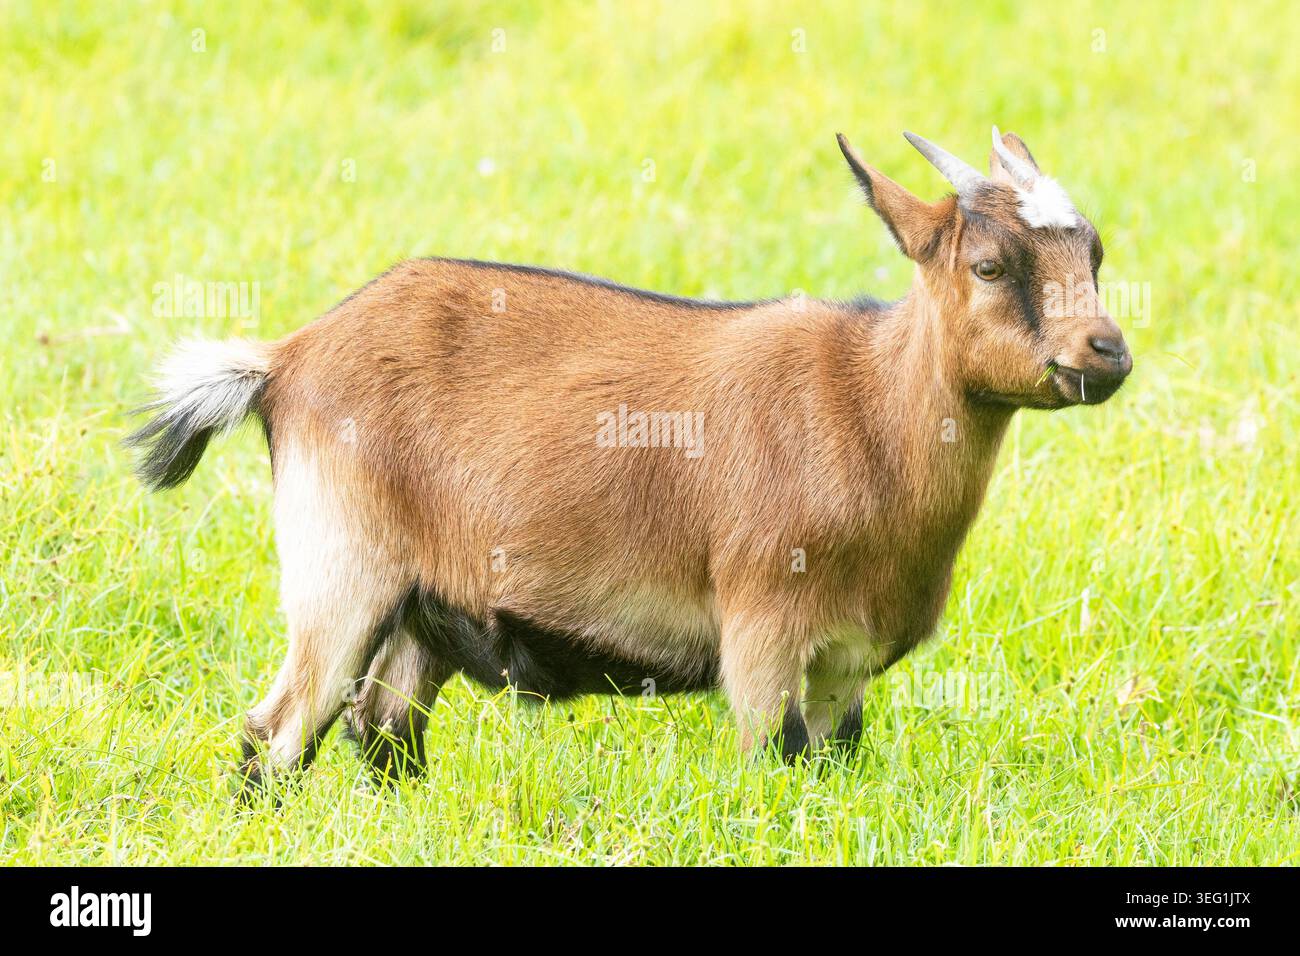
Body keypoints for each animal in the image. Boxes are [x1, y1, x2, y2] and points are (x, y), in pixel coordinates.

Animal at [127, 127, 1131, 787]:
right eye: (990, 266)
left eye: (1094, 252)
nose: (1106, 352)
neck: (866, 409)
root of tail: (288, 361)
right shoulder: (763, 630)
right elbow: (774, 764)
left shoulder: (846, 659)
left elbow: (830, 771)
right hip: (342, 571)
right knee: (278, 733)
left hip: (425, 605)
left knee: (384, 731)